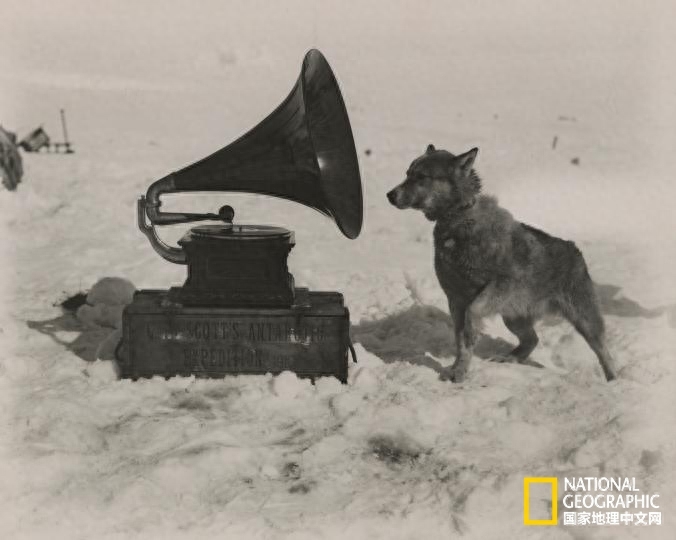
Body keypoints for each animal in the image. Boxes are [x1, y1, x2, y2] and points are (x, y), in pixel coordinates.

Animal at [388, 144, 616, 384]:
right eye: (407, 174)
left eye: (422, 176)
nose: (390, 195)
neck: (459, 219)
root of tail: (574, 249)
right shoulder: (455, 299)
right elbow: (461, 342)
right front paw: (458, 370)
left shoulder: (498, 286)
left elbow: (472, 315)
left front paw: (469, 342)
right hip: (513, 317)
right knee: (532, 339)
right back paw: (508, 358)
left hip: (584, 319)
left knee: (604, 351)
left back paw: (614, 380)